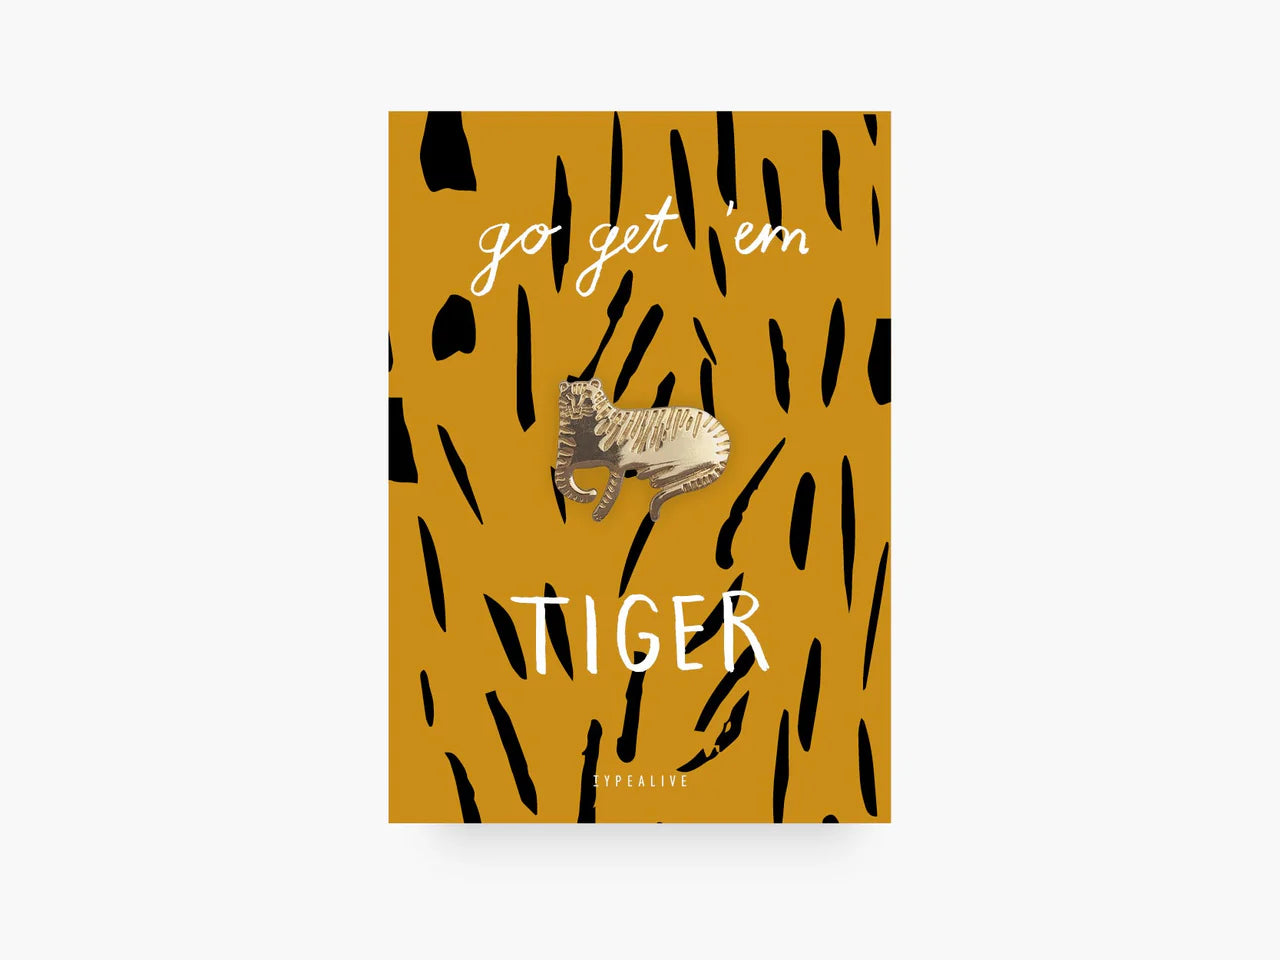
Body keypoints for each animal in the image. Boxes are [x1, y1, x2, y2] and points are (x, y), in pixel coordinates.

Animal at [555, 378, 731, 522]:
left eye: (586, 395)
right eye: (569, 397)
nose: (575, 410)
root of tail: (725, 442)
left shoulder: (618, 463)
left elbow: (611, 490)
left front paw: (598, 513)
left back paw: (655, 475)